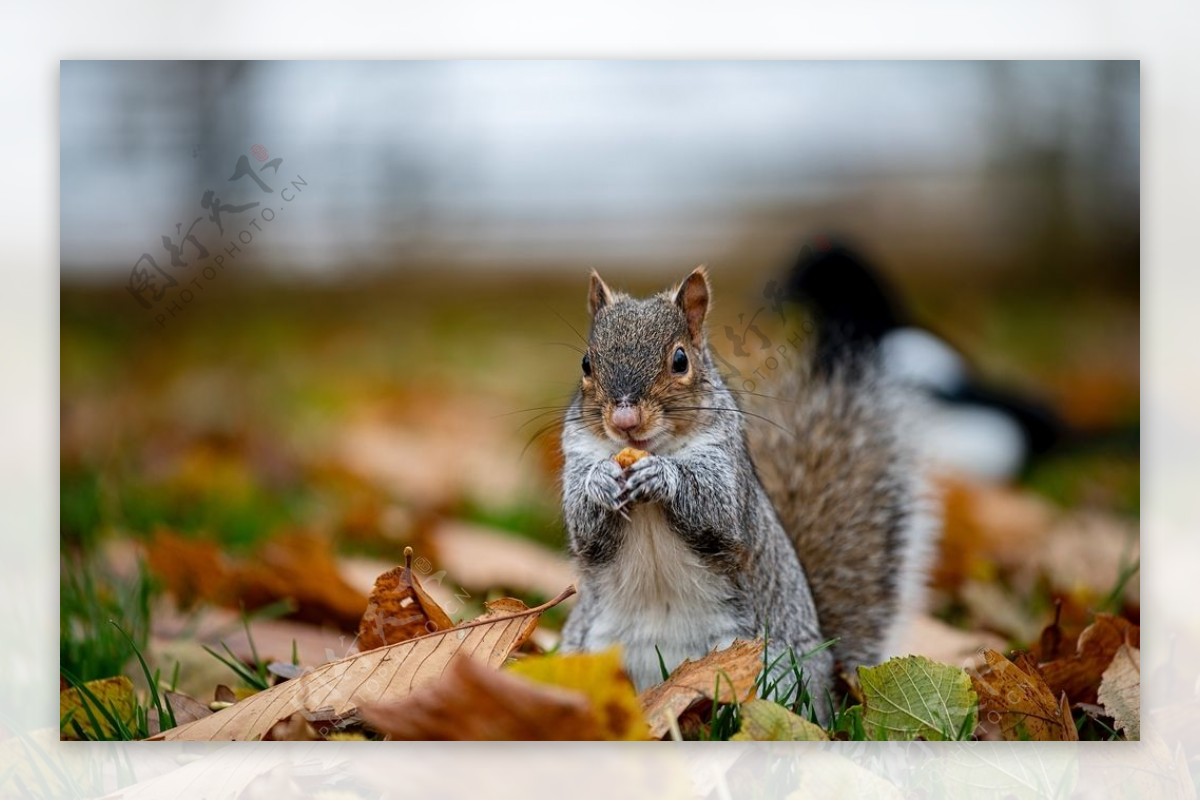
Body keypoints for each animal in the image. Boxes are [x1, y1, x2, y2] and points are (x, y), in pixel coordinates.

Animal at [556, 263, 931, 719]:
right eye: (586, 363)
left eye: (680, 360)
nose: (625, 420)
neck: (649, 449)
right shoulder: (577, 455)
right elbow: (583, 523)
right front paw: (599, 482)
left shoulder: (728, 474)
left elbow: (715, 508)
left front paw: (662, 476)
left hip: (770, 671)